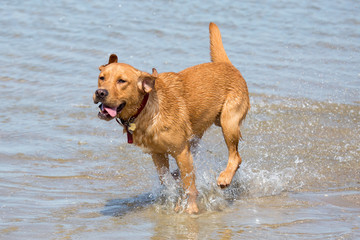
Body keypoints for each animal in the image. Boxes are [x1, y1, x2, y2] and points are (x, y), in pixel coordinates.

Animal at [93, 23, 250, 214]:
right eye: (101, 78)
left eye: (121, 81)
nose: (100, 93)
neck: (147, 108)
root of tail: (227, 65)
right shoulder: (157, 154)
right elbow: (165, 180)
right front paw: (174, 197)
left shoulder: (181, 151)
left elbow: (190, 186)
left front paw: (190, 209)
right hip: (196, 134)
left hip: (229, 123)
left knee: (236, 157)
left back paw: (225, 177)